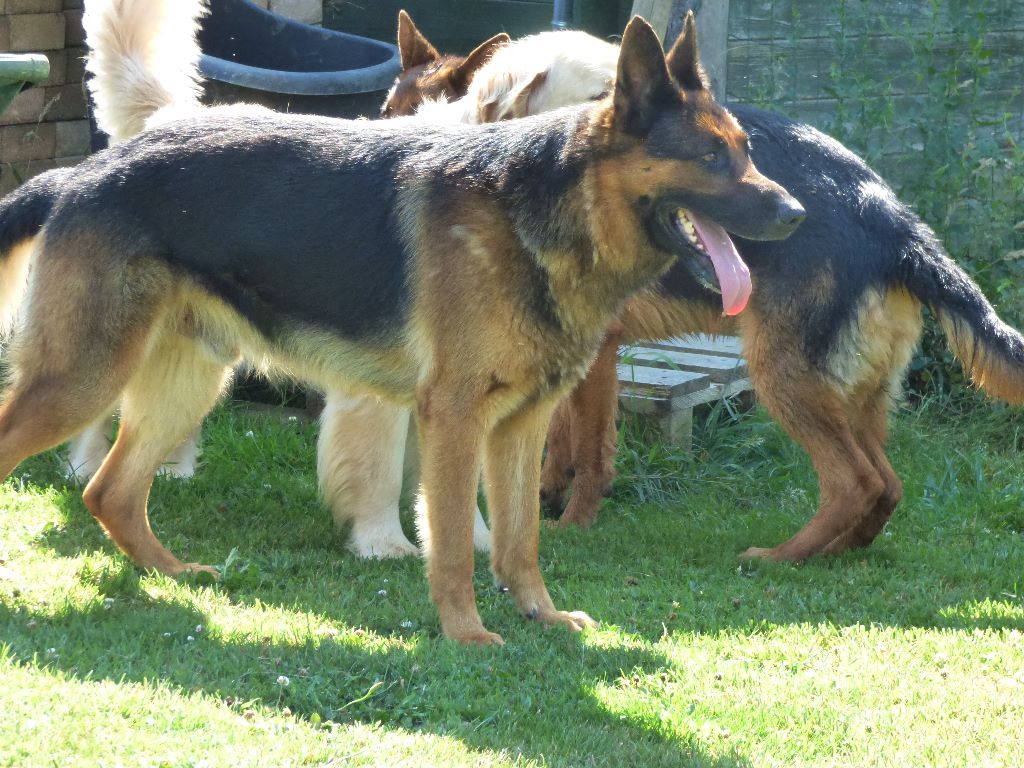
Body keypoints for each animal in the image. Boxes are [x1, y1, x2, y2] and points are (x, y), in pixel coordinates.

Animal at [0, 18, 802, 643]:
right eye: (710, 158)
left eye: (745, 150)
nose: (796, 213)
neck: (541, 207)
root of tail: (80, 175)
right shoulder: (451, 418)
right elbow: (448, 543)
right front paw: (467, 634)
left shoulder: (521, 426)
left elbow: (520, 540)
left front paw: (540, 618)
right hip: (79, 382)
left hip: (185, 383)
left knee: (110, 491)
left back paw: (174, 576)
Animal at [382, 18, 1024, 561]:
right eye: (389, 107)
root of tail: (892, 217)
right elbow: (560, 443)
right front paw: (547, 499)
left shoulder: (598, 357)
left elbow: (589, 452)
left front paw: (574, 524)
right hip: (854, 394)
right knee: (887, 485)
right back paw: (836, 552)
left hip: (782, 376)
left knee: (856, 482)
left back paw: (780, 558)